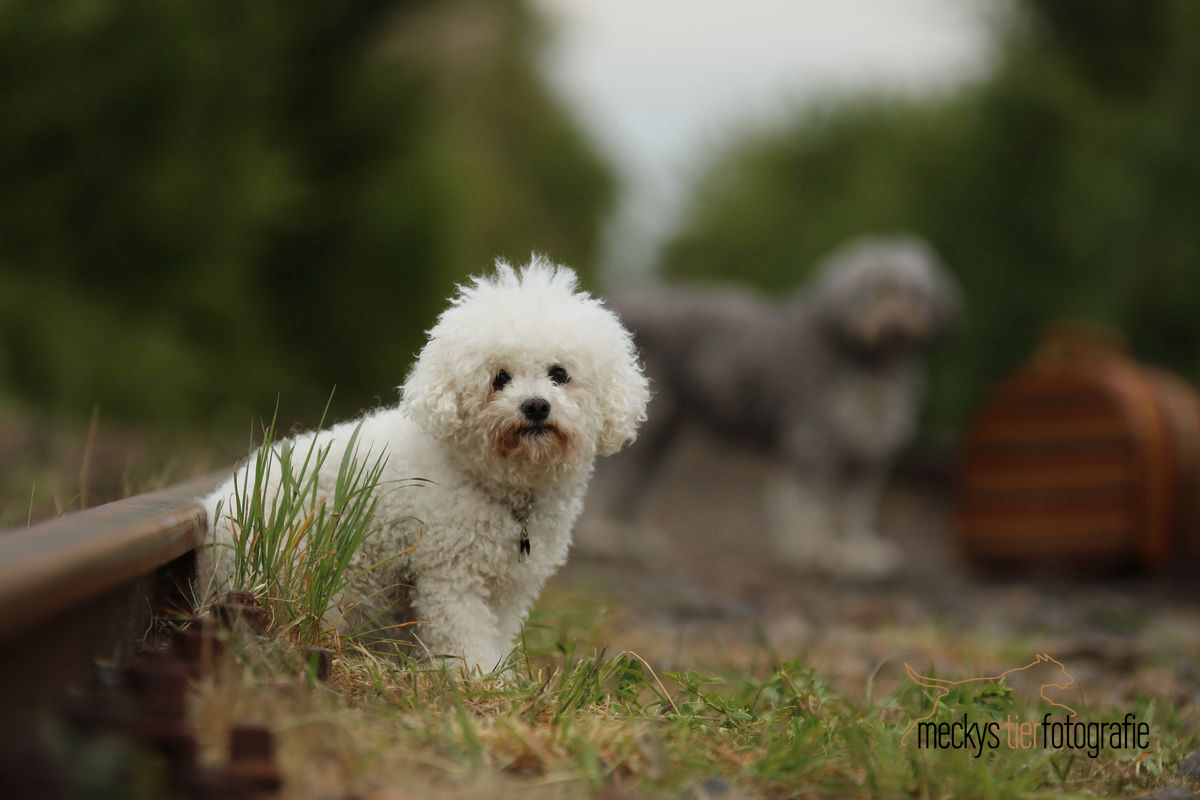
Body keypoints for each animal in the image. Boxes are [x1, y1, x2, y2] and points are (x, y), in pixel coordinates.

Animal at [199, 260, 648, 671]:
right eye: (500, 378)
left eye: (559, 374)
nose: (536, 406)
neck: (499, 488)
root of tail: (216, 505)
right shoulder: (452, 575)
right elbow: (464, 635)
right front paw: (478, 681)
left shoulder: (508, 586)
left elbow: (497, 632)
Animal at [604, 232, 960, 575]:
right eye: (871, 293)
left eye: (912, 292)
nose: (894, 328)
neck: (868, 363)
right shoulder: (816, 441)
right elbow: (810, 504)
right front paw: (818, 551)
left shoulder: (865, 451)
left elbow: (854, 511)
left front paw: (860, 553)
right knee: (612, 483)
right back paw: (604, 539)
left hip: (660, 437)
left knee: (634, 489)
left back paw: (635, 540)